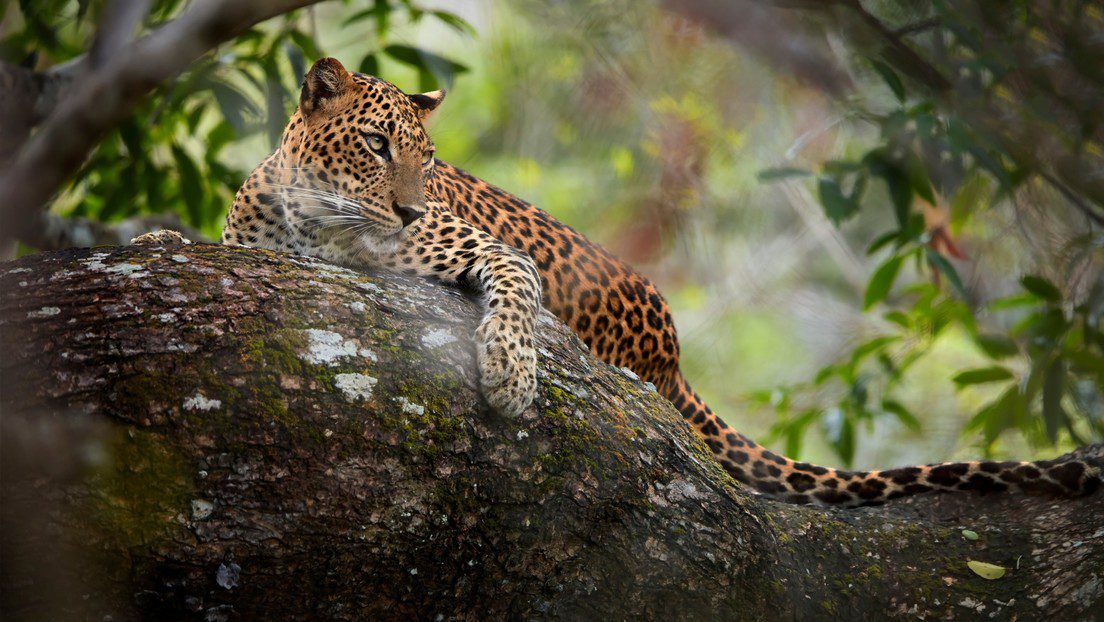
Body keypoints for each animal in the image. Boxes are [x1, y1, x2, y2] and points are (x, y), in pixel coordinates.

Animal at [137, 57, 1100, 507]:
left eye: (428, 158)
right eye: (376, 146)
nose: (408, 211)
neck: (318, 219)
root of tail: (673, 356)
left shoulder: (486, 248)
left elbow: (513, 295)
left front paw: (511, 376)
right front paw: (155, 235)